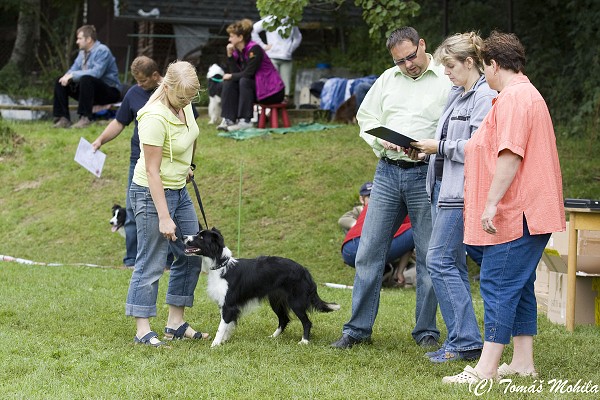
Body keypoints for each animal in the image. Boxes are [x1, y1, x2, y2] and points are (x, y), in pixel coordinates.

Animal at [184, 228, 338, 346]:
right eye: (197, 233)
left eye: (201, 237)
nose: (183, 237)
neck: (221, 265)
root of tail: (305, 270)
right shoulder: (226, 305)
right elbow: (228, 325)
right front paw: (224, 341)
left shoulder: (228, 305)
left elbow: (221, 327)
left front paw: (215, 344)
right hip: (276, 300)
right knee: (284, 319)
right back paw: (273, 337)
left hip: (296, 301)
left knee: (306, 322)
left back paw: (304, 341)